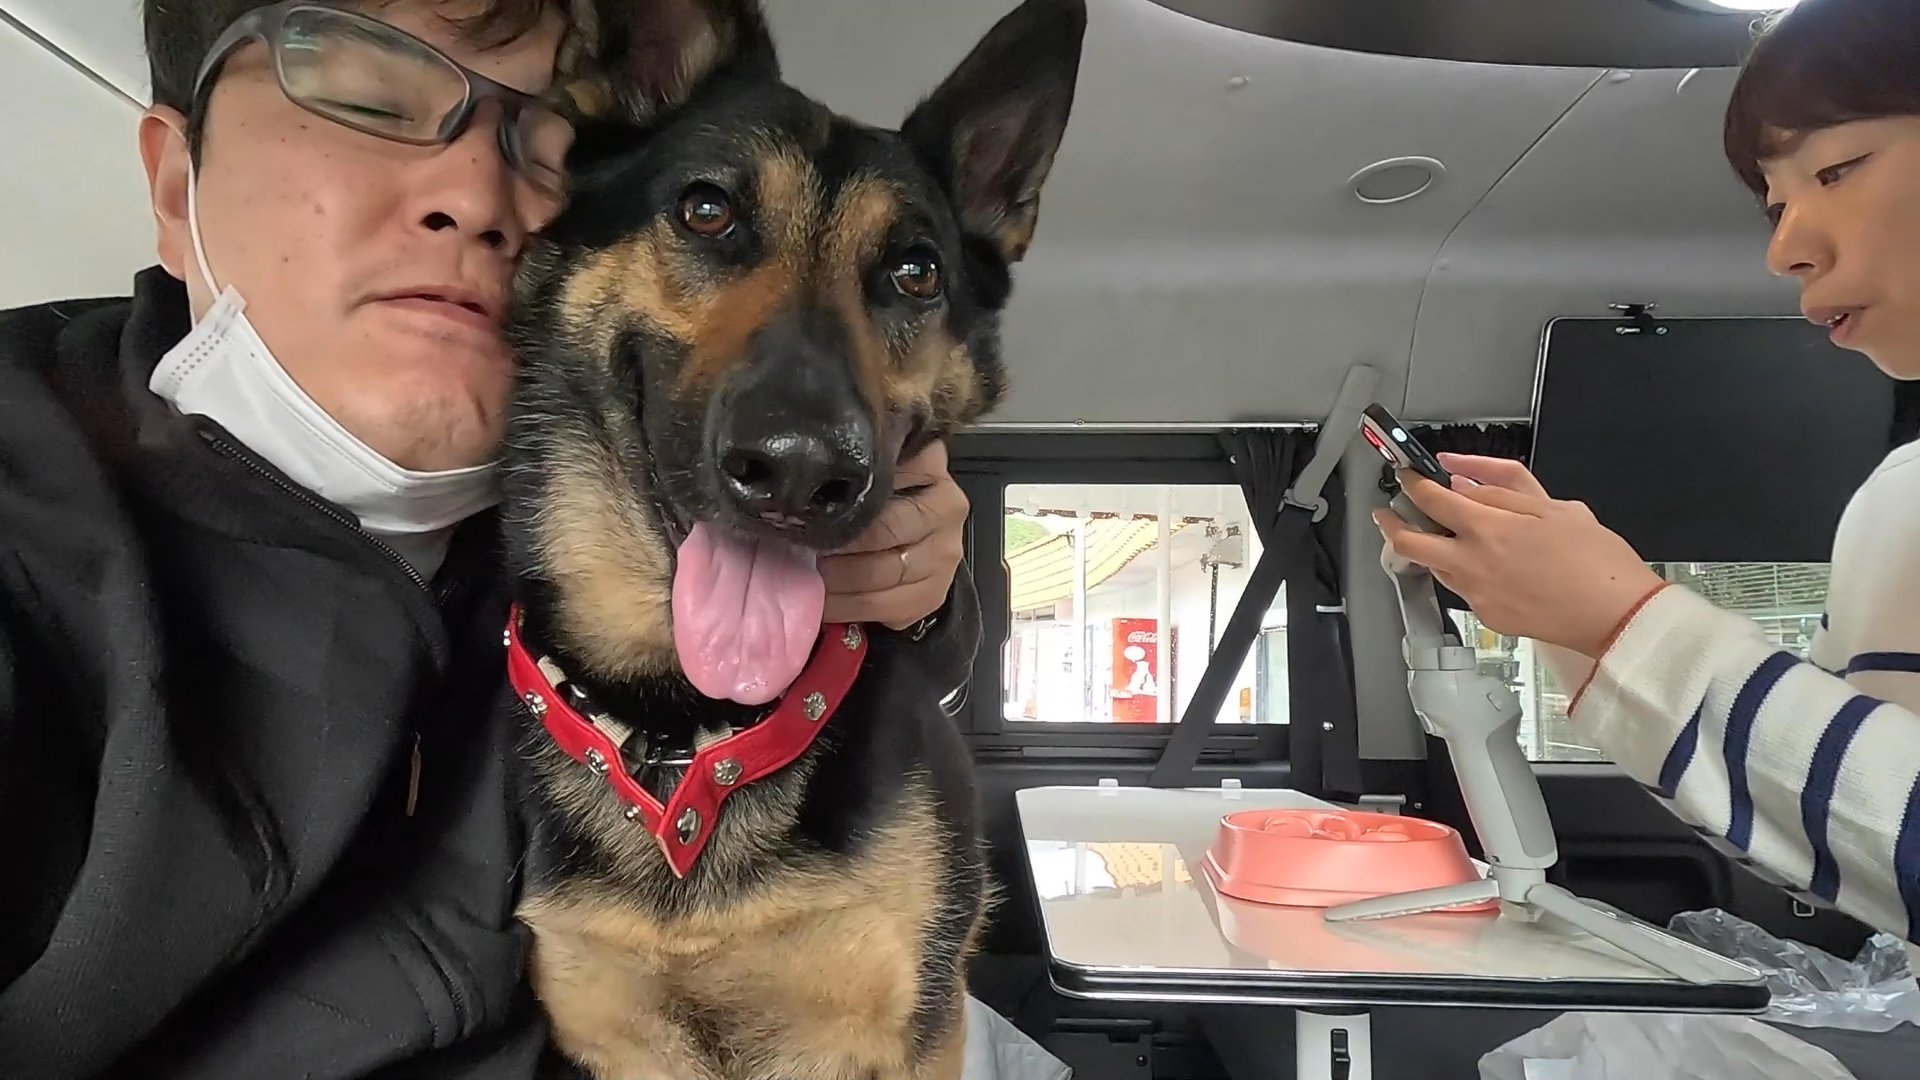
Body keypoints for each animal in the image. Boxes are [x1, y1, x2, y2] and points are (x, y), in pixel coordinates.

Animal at [495, 1, 1086, 1077]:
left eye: (915, 273)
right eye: (706, 212)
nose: (802, 473)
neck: (683, 734)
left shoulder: (908, 1030)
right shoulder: (620, 1040)